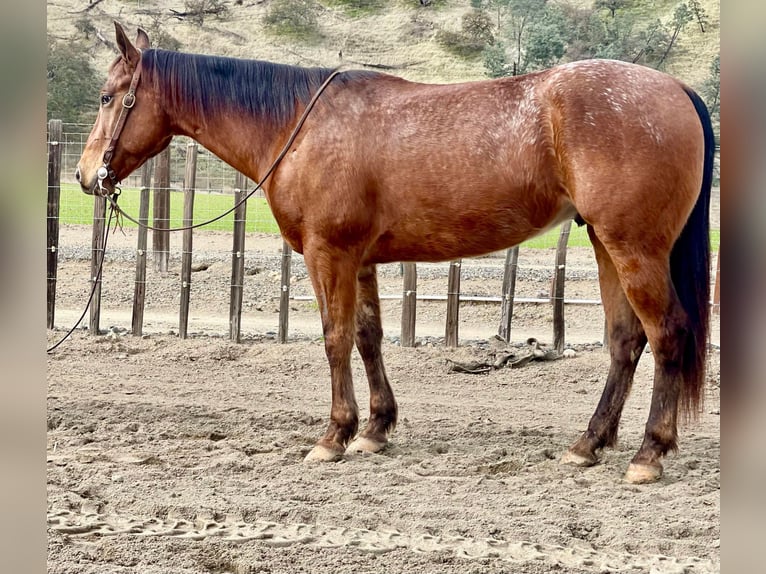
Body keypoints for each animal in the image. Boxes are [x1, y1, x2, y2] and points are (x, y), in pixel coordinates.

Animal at [76, 23, 712, 486]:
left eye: (108, 97)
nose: (86, 176)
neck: (298, 125)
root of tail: (676, 89)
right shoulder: (360, 261)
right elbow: (367, 337)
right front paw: (375, 430)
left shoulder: (328, 253)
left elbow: (334, 338)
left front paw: (334, 436)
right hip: (606, 244)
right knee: (625, 341)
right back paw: (588, 444)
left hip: (633, 247)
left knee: (667, 335)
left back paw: (649, 454)